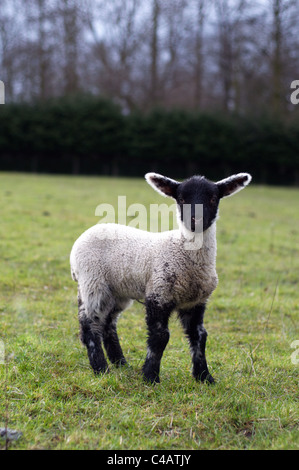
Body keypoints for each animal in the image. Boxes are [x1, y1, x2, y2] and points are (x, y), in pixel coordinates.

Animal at [71, 171, 253, 384]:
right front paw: (150, 376)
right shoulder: (159, 293)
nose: (196, 220)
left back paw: (120, 363)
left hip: (117, 290)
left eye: (213, 198)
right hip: (93, 282)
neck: (183, 251)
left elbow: (200, 336)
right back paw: (101, 368)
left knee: (108, 323)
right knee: (90, 324)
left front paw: (204, 377)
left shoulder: (196, 301)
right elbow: (160, 336)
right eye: (182, 199)